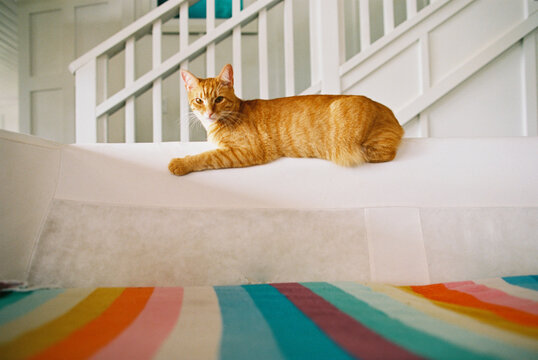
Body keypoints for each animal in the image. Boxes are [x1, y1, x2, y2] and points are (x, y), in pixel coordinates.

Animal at [169, 65, 402, 176]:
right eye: (199, 101)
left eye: (218, 99)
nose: (209, 113)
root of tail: (389, 113)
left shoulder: (246, 150)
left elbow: (206, 156)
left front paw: (180, 163)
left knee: (383, 153)